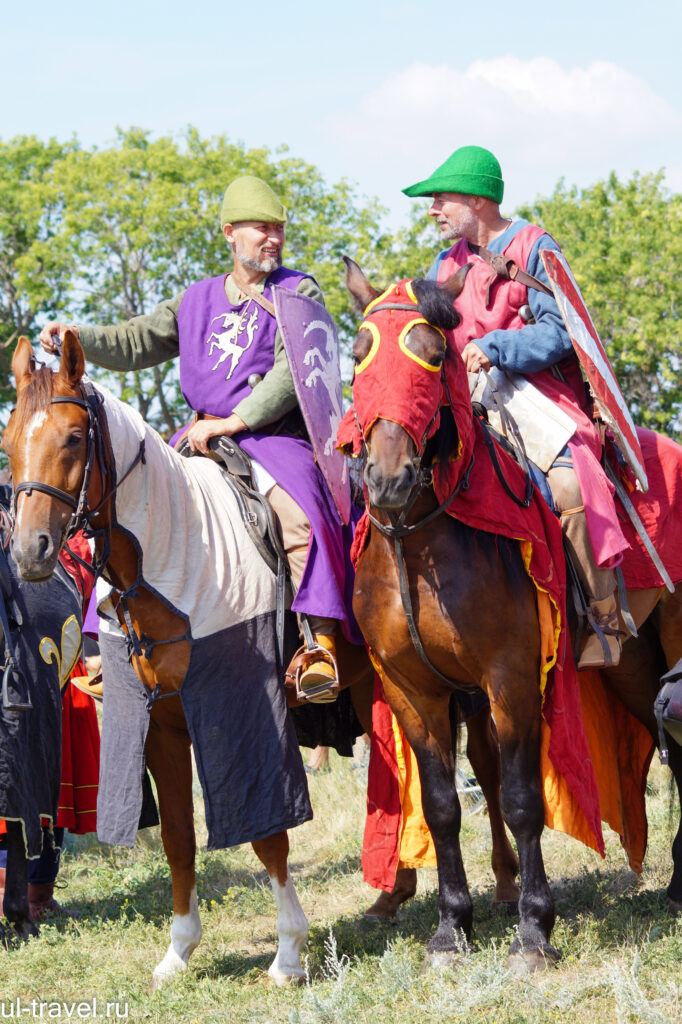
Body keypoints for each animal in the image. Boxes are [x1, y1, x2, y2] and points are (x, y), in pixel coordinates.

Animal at [342, 260, 679, 970]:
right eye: (358, 355)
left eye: (433, 353)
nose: (387, 480)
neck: (420, 541)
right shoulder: (412, 690)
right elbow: (442, 805)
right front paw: (452, 927)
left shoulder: (511, 678)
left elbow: (523, 800)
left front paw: (533, 929)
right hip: (632, 670)